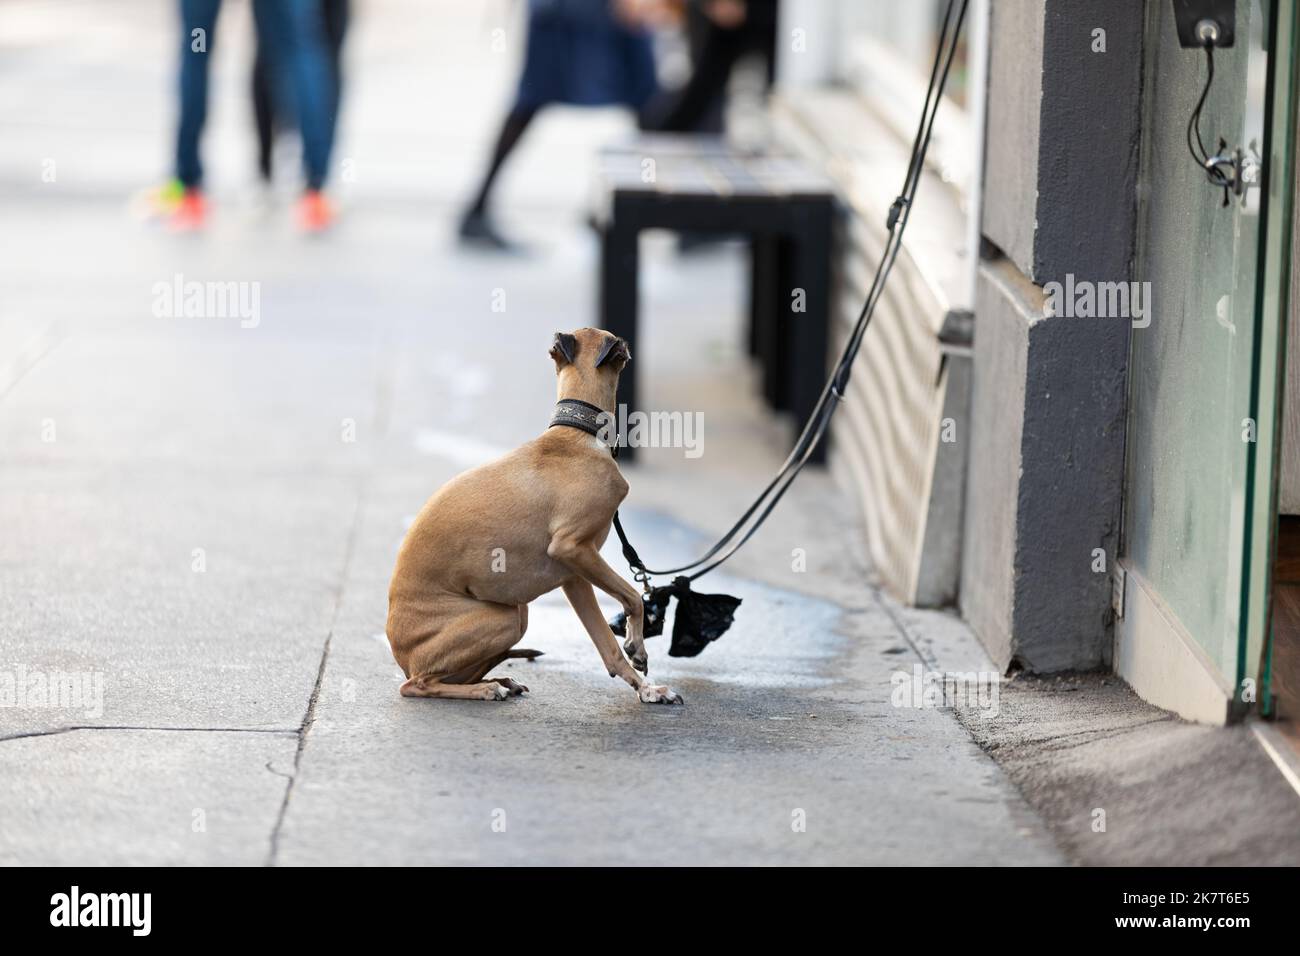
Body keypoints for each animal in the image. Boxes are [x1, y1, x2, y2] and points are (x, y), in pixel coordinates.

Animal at [384, 325, 686, 707]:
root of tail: (402, 657)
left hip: (516, 615)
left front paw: (644, 687)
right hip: (505, 619)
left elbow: (608, 647)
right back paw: (484, 688)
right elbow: (633, 597)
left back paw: (498, 680)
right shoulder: (571, 547)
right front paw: (640, 653)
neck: (577, 434)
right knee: (417, 684)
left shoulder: (575, 573)